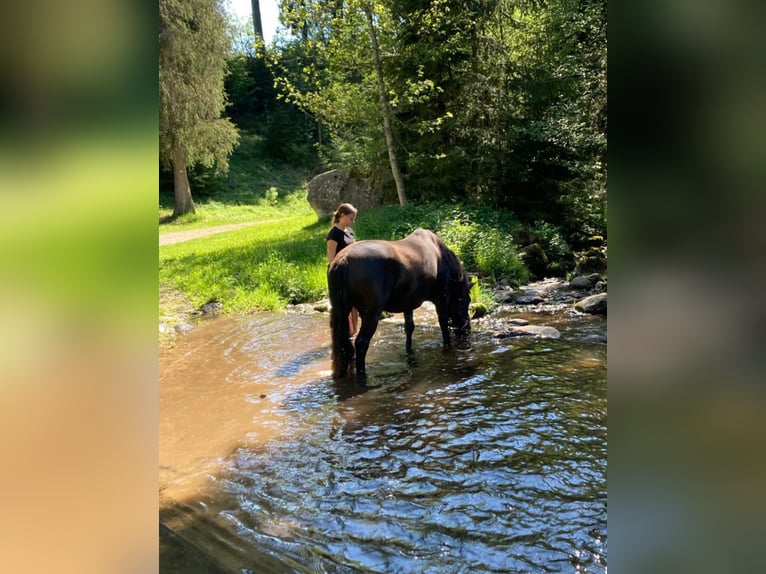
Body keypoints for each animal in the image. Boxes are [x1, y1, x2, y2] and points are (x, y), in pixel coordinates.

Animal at [328, 227, 472, 380]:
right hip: (371, 314)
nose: (467, 329)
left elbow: (409, 327)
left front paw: (409, 351)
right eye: (467, 301)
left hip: (342, 312)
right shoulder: (442, 297)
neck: (439, 254)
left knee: (345, 345)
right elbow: (443, 323)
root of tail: (344, 260)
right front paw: (447, 347)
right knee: (361, 343)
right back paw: (362, 375)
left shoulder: (408, 303)